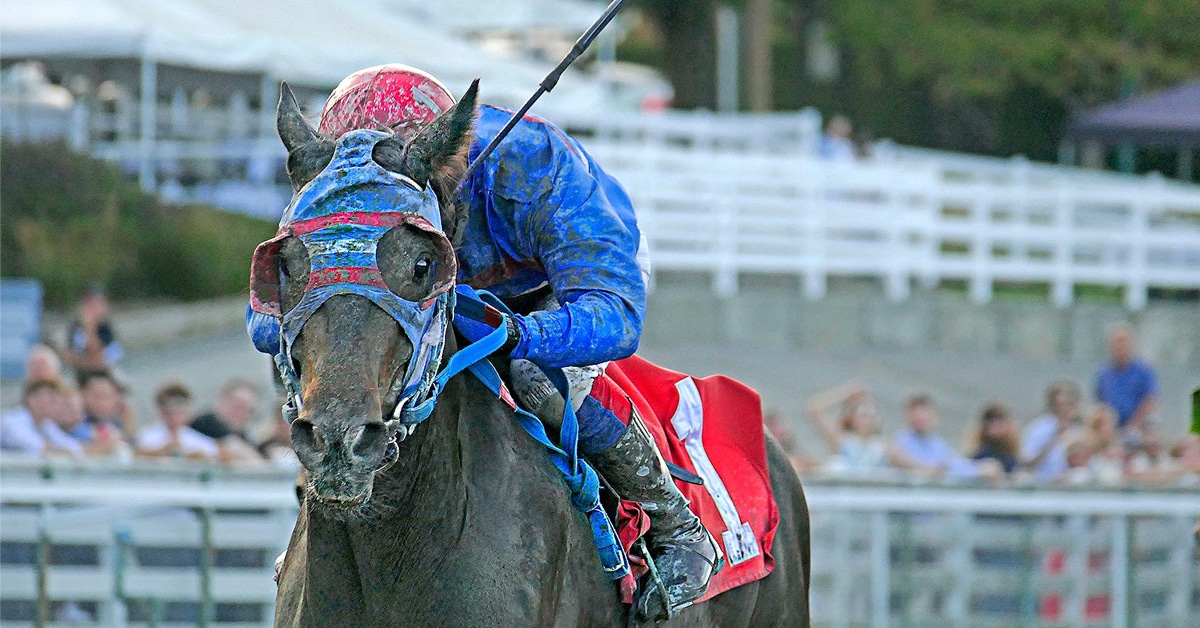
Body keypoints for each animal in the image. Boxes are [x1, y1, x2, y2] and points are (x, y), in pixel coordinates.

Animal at [267, 82, 811, 627]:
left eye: (423, 264)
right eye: (284, 265)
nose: (339, 439)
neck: (392, 550)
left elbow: (605, 309)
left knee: (546, 378)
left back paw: (686, 550)